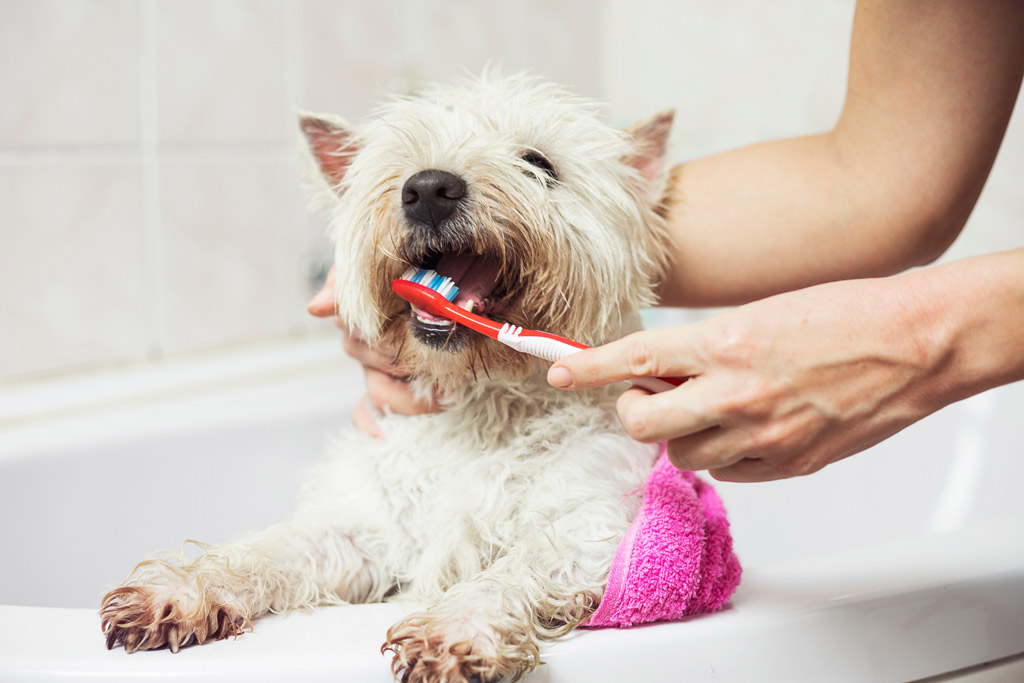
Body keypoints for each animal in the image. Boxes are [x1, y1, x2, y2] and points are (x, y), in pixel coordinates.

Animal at [101, 72, 679, 679]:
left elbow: (513, 569)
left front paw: (456, 629)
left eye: (539, 163)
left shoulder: (584, 528)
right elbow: (271, 549)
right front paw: (182, 587)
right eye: (402, 162)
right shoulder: (363, 531)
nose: (428, 189)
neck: (482, 404)